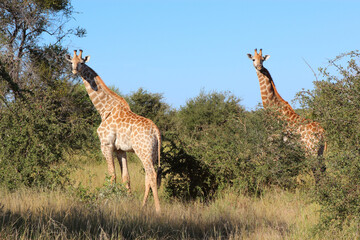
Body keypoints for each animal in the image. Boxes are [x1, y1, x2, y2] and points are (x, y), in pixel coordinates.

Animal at [66, 49, 162, 213]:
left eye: (82, 62)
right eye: (72, 61)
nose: (74, 71)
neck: (105, 109)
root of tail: (156, 130)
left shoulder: (106, 145)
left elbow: (112, 175)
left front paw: (108, 201)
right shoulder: (120, 150)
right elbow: (126, 177)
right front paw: (128, 200)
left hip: (143, 151)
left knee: (152, 174)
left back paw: (157, 209)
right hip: (152, 152)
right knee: (148, 176)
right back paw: (143, 205)